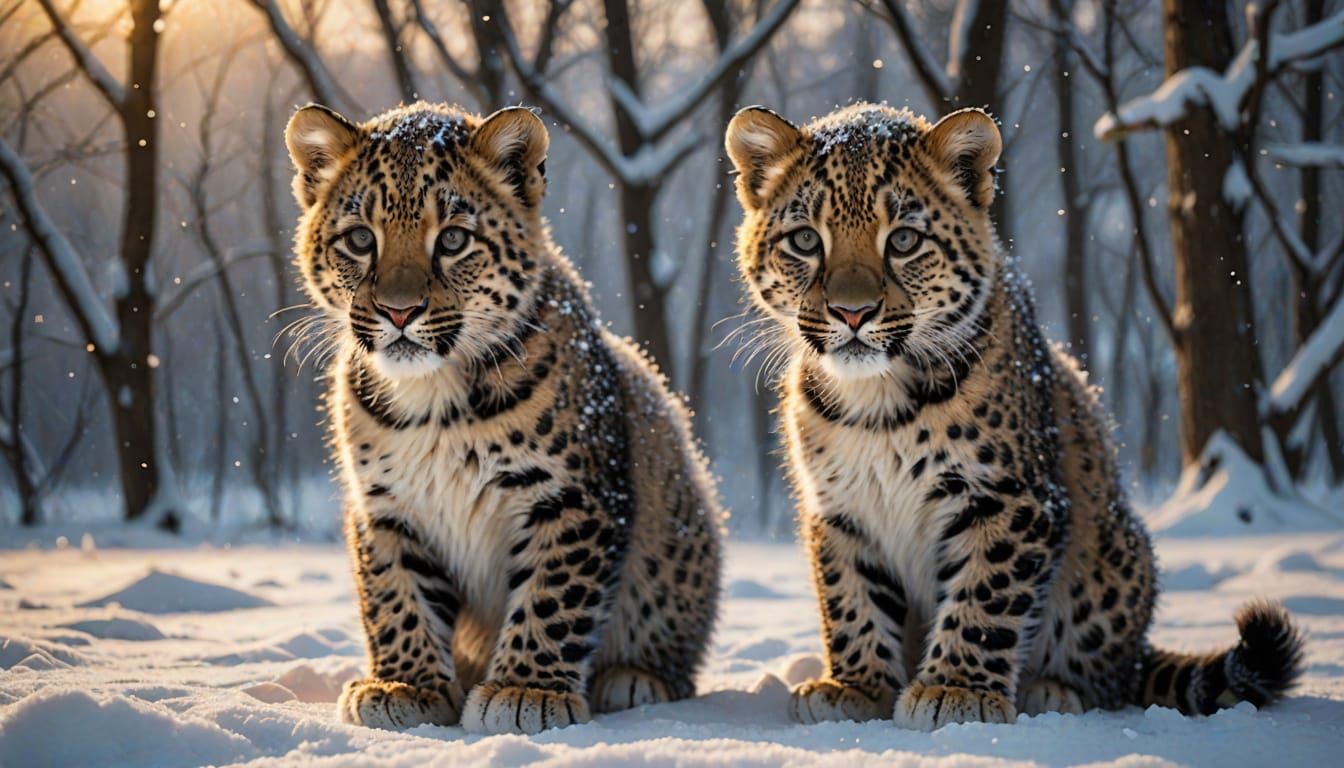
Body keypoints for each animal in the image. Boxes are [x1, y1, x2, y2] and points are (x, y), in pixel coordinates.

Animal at [284, 101, 722, 734]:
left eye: (453, 240)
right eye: (361, 239)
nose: (398, 311)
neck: (434, 401)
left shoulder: (574, 499)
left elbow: (552, 596)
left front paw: (525, 690)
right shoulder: (387, 507)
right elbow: (396, 596)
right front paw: (405, 684)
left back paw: (633, 678)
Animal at [724, 102, 1304, 730]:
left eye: (903, 240)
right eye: (806, 240)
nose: (851, 313)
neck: (876, 399)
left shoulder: (1009, 497)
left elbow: (986, 595)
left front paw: (956, 689)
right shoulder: (840, 508)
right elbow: (851, 597)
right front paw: (856, 686)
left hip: (1114, 559)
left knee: (1110, 675)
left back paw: (1056, 691)